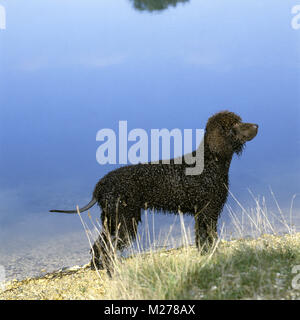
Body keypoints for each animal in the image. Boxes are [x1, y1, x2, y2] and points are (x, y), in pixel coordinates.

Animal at [49, 110, 258, 272]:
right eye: (236, 125)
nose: (257, 125)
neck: (209, 163)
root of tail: (100, 186)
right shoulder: (209, 211)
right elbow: (210, 238)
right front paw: (214, 255)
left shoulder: (202, 214)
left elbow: (202, 239)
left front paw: (205, 255)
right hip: (124, 220)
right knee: (107, 246)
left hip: (113, 220)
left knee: (99, 245)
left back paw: (98, 267)